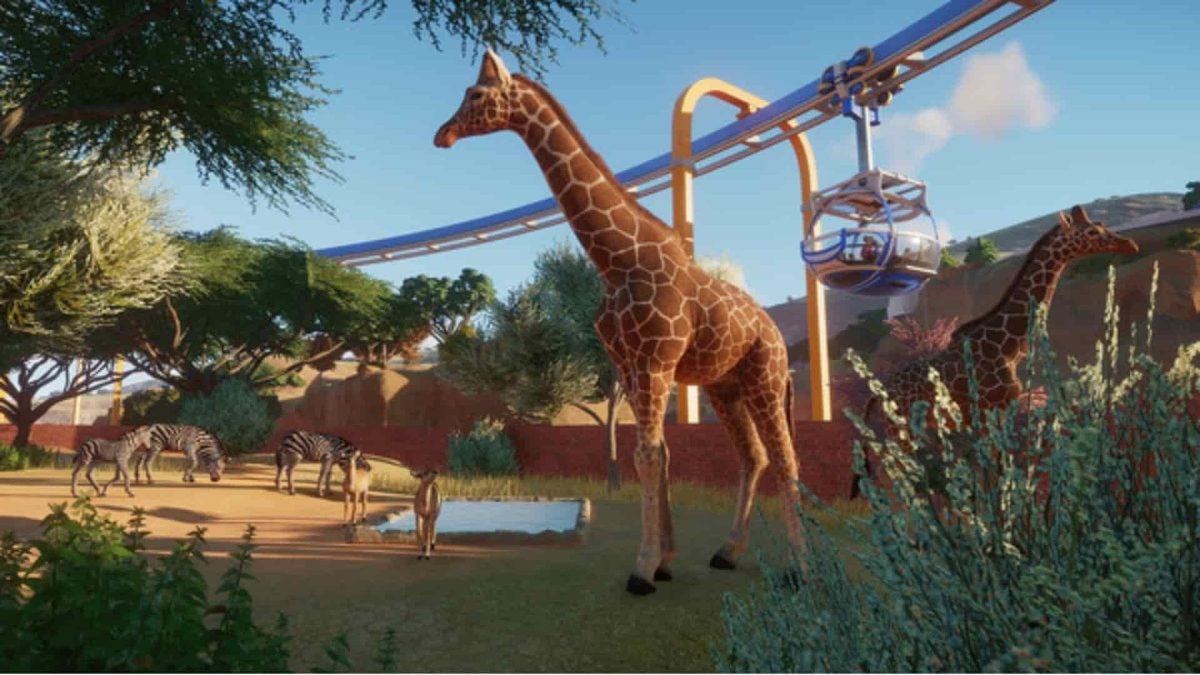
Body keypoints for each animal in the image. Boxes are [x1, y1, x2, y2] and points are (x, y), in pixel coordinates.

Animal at [435, 50, 807, 595]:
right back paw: (727, 551)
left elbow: (648, 455)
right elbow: (659, 454)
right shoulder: (631, 366)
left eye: (477, 95)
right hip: (724, 386)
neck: (617, 261)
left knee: (785, 457)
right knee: (753, 456)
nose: (442, 135)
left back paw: (802, 567)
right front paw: (665, 561)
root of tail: (776, 334)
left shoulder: (654, 362)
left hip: (765, 377)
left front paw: (642, 570)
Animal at [864, 205, 1138, 447]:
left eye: (1101, 224)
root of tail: (876, 395)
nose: (1130, 244)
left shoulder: (997, 413)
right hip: (901, 427)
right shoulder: (991, 413)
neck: (1006, 349)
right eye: (1092, 231)